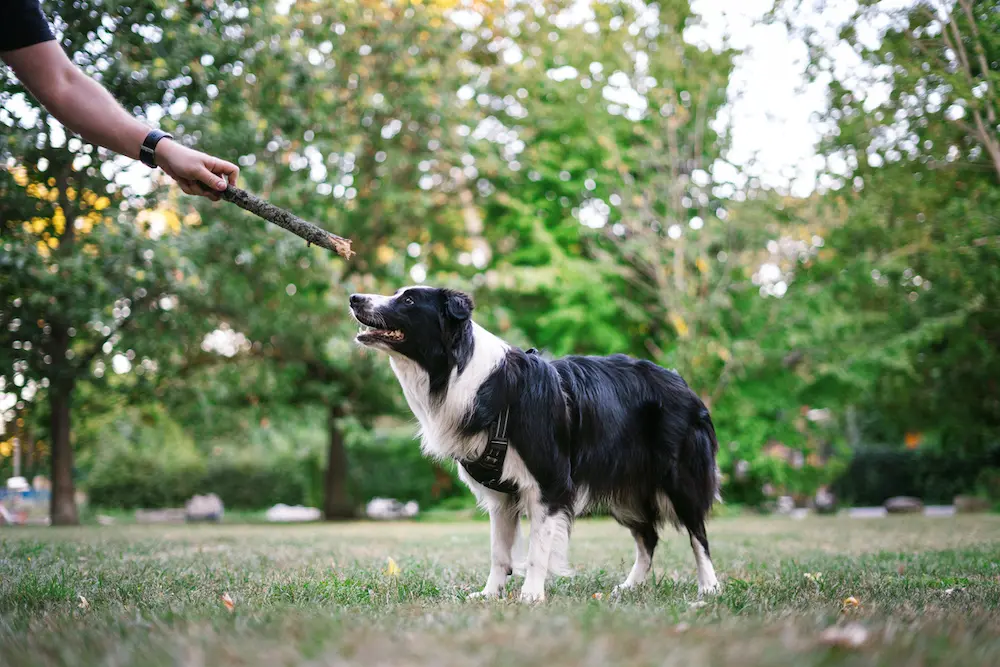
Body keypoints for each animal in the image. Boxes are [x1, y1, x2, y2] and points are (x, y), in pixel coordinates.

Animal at [350, 284, 720, 604]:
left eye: (409, 300)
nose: (354, 298)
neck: (463, 374)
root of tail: (681, 381)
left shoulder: (549, 483)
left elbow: (537, 549)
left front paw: (531, 595)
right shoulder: (501, 496)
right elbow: (499, 553)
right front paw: (490, 594)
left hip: (679, 477)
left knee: (697, 534)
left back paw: (709, 588)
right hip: (625, 491)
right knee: (648, 537)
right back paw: (630, 587)